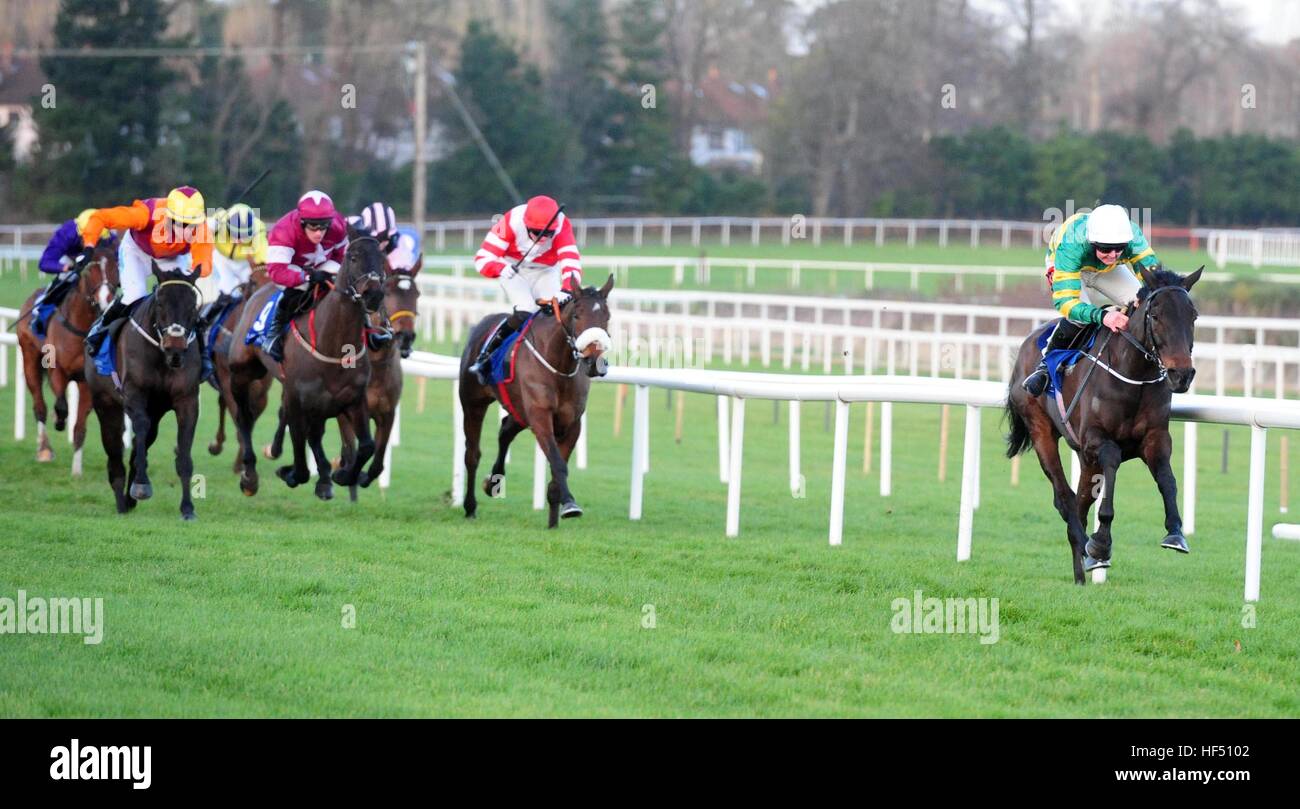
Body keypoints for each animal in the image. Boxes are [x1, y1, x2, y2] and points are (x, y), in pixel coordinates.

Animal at [15, 247, 118, 476]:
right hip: (29, 359)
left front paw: (77, 470)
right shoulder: (57, 370)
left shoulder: (87, 382)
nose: (105, 301)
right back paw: (44, 449)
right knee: (40, 406)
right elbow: (61, 406)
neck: (81, 328)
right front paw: (60, 421)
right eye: (89, 271)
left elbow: (80, 425)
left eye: (116, 268)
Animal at [83, 266, 205, 520]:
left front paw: (188, 508)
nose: (175, 347)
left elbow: (184, 454)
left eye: (192, 305)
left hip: (156, 412)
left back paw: (128, 499)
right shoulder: (134, 395)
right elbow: (139, 426)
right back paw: (121, 502)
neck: (162, 356)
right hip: (105, 405)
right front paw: (141, 486)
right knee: (115, 455)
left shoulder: (187, 400)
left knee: (140, 444)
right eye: (160, 303)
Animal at [226, 228, 384, 504]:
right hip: (242, 373)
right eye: (353, 257)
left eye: (382, 258)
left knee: (314, 433)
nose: (373, 294)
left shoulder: (353, 399)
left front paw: (342, 475)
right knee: (244, 418)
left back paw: (323, 480)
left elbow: (366, 445)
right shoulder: (297, 399)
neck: (334, 344)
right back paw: (250, 476)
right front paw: (290, 472)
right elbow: (299, 454)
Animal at [462, 277, 613, 533]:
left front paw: (554, 520)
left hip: (520, 411)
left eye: (607, 316)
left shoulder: (571, 424)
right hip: (473, 403)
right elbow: (558, 464)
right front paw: (570, 504)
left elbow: (556, 468)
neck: (559, 365)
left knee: (505, 430)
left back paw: (493, 481)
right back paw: (470, 507)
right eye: (577, 316)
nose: (595, 362)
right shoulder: (541, 418)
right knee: (472, 454)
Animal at [1003, 266, 1206, 582]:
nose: (1181, 374)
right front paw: (1100, 544)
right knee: (1065, 499)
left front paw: (1175, 532)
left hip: (1085, 459)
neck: (1133, 374)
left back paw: (1080, 572)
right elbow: (1111, 465)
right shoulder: (1095, 439)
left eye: (1193, 315)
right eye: (1155, 315)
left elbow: (1167, 479)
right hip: (1041, 430)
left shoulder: (1156, 437)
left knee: (1080, 502)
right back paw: (1087, 549)